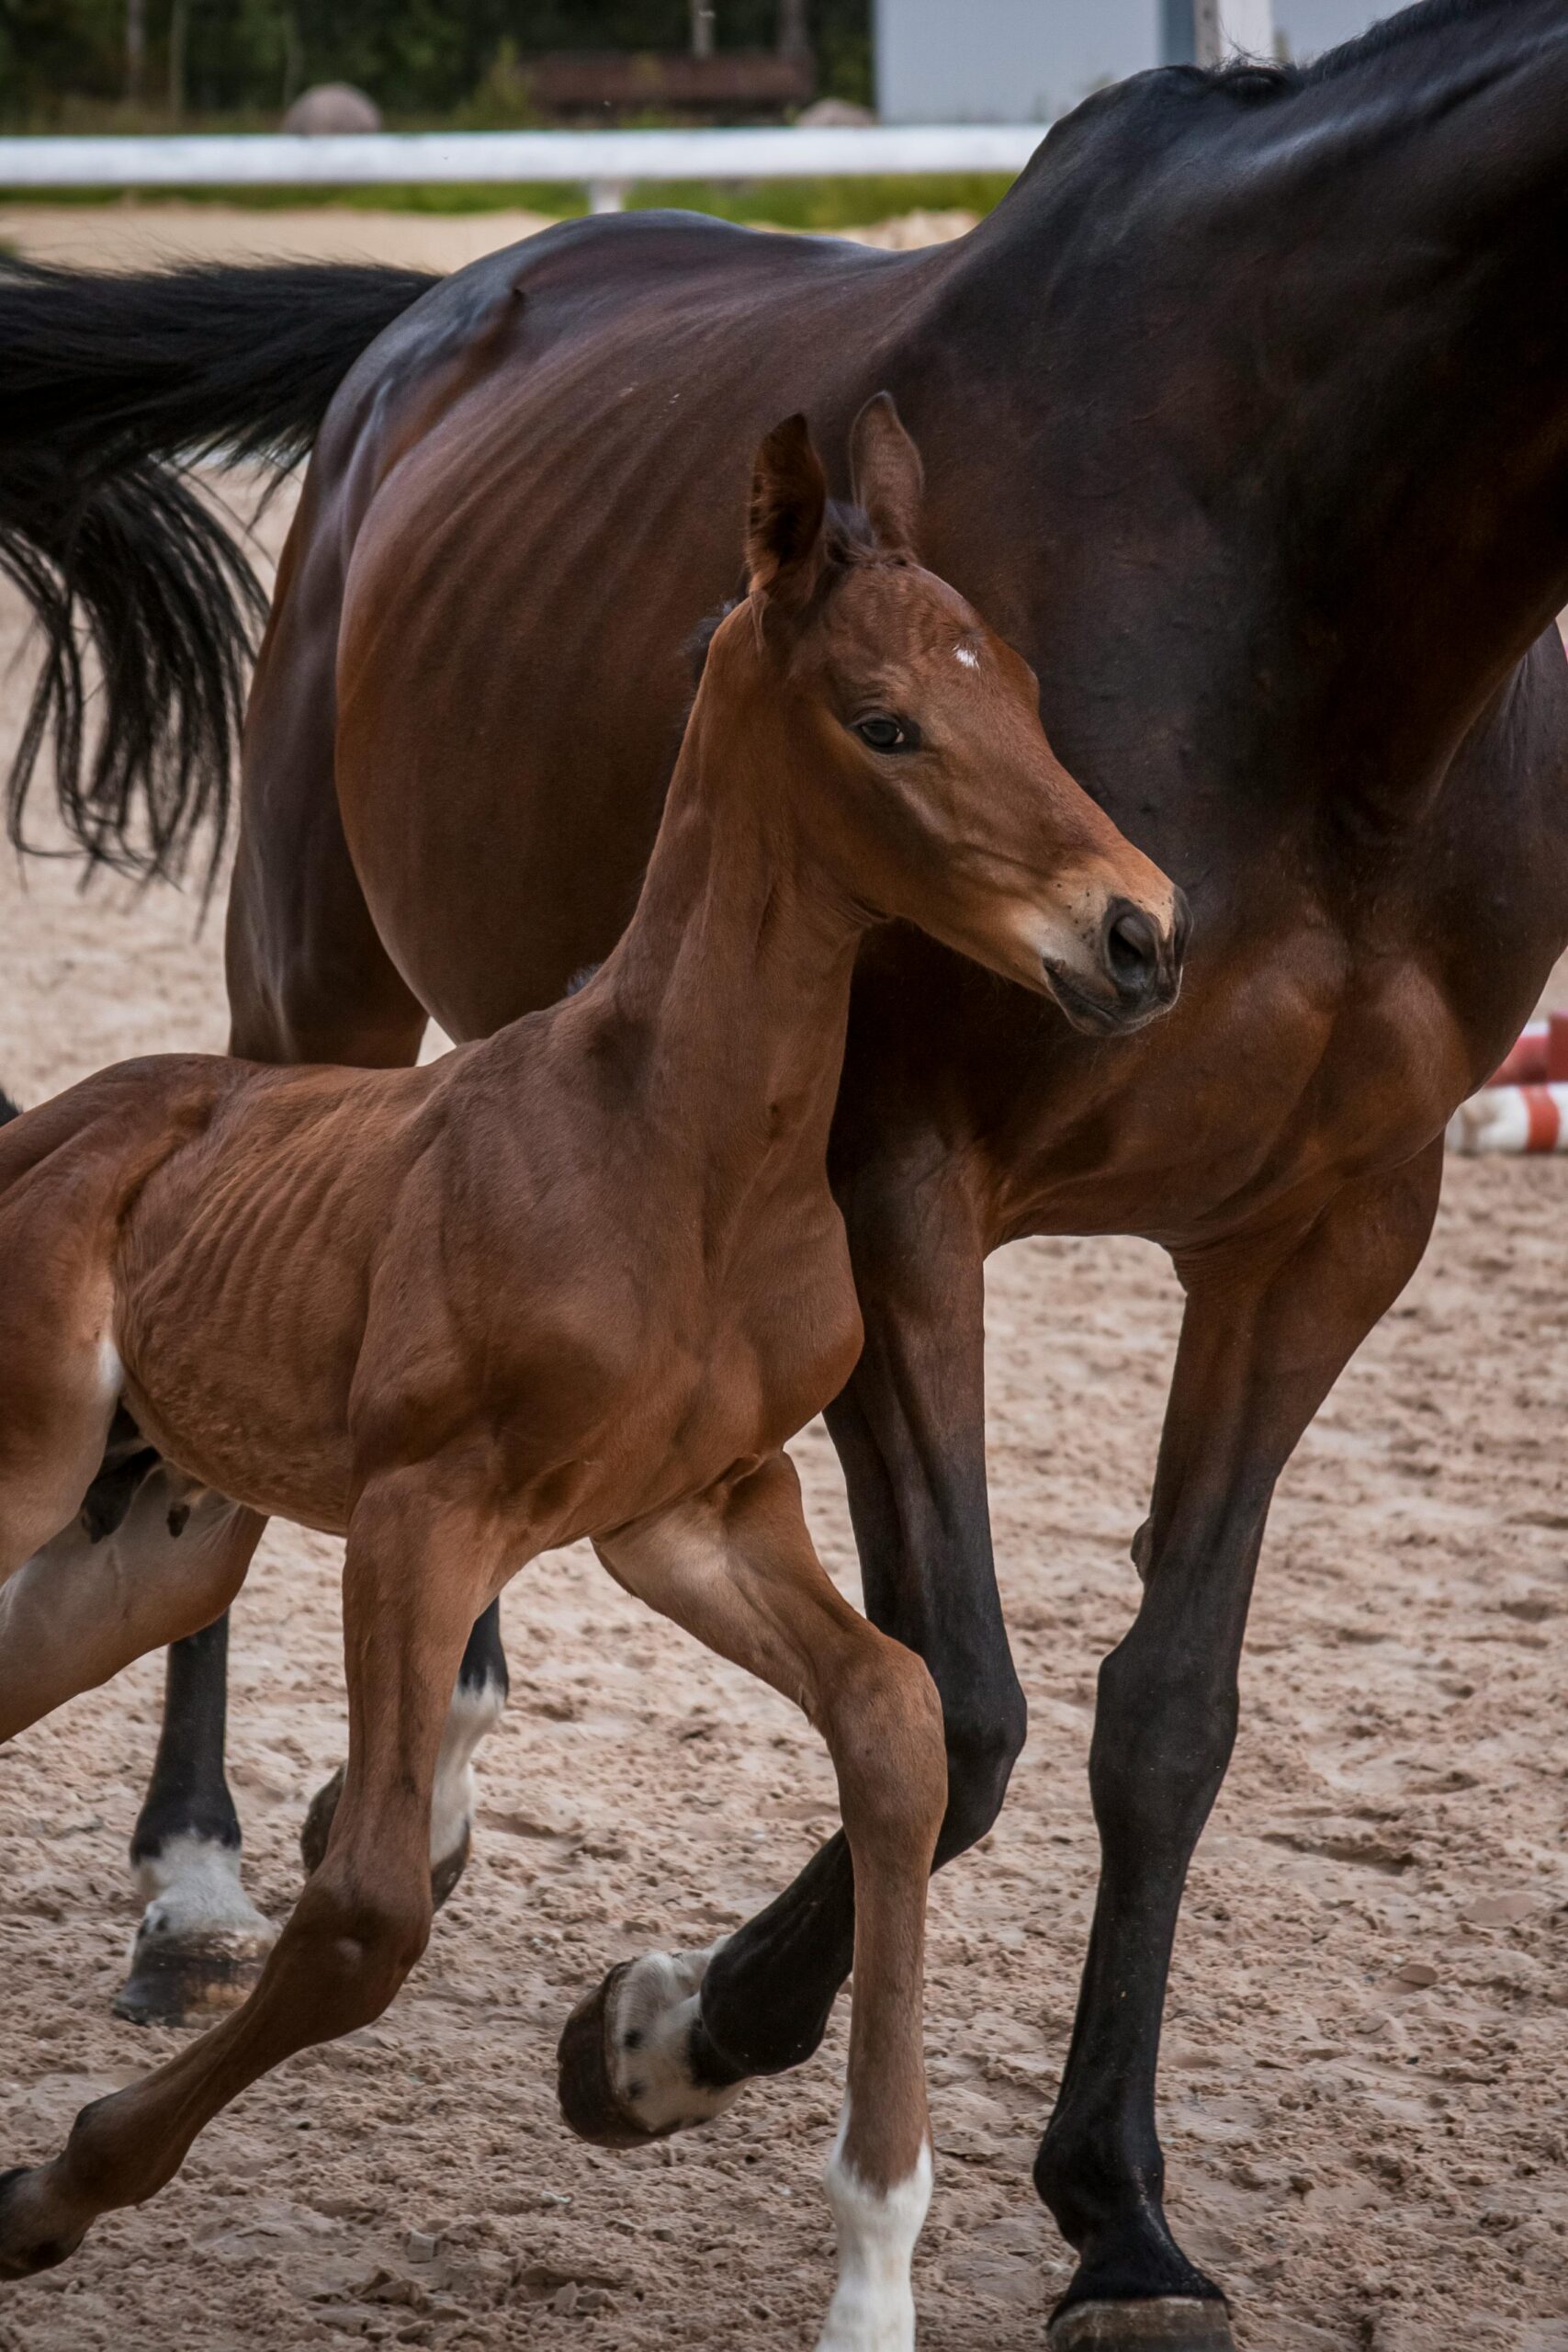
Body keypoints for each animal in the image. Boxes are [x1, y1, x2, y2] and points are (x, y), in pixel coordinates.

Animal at [0, 404, 1183, 2337]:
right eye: (884, 721)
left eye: (1014, 682)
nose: (1140, 933)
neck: (671, 1144)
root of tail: (52, 1127)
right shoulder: (427, 1513)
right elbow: (365, 1912)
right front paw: (49, 2191)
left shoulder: (695, 1515)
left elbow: (898, 1725)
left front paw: (869, 2273)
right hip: (28, 1471)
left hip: (143, 1552)